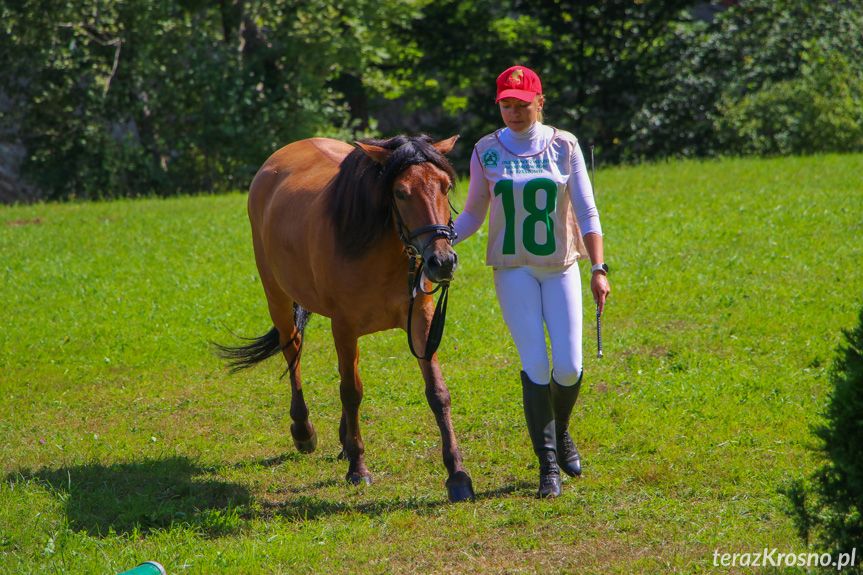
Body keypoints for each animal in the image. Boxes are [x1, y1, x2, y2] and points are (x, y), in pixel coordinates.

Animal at [215, 133, 472, 502]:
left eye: (446, 186)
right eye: (400, 192)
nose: (442, 261)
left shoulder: (421, 322)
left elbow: (437, 393)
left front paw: (457, 474)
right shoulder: (345, 326)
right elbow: (351, 392)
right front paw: (358, 467)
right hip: (277, 297)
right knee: (292, 348)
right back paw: (304, 430)